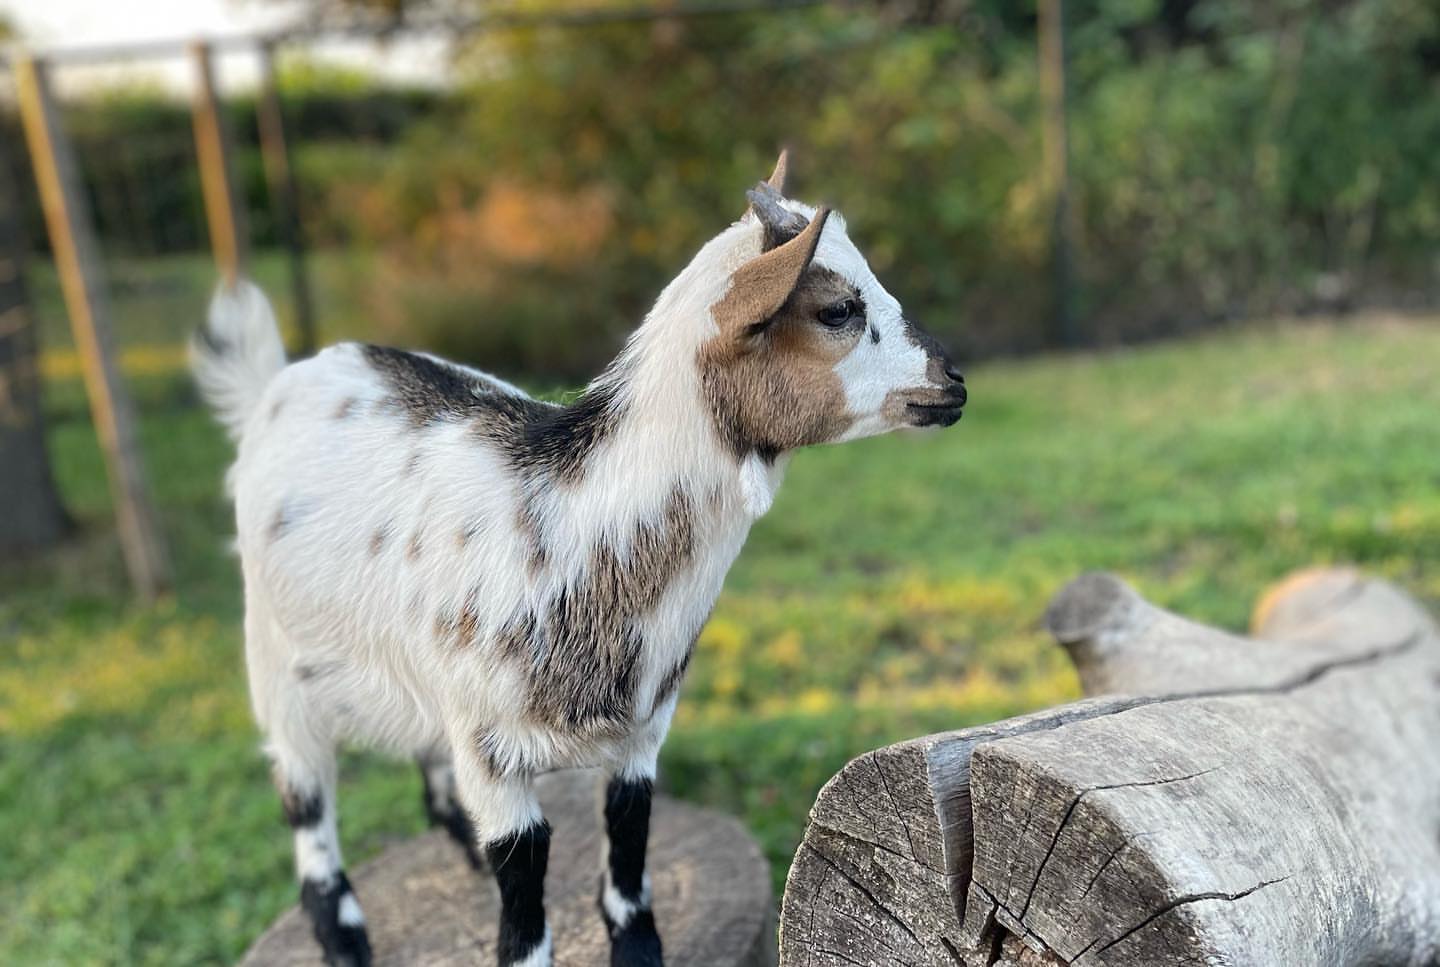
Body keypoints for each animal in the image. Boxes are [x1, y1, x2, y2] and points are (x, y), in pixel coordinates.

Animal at [192, 154, 966, 967]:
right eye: (838, 310)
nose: (953, 381)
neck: (579, 524)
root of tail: (282, 379)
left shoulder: (642, 734)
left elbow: (628, 848)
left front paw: (640, 948)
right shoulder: (493, 756)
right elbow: (524, 901)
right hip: (275, 657)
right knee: (305, 800)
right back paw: (344, 935)